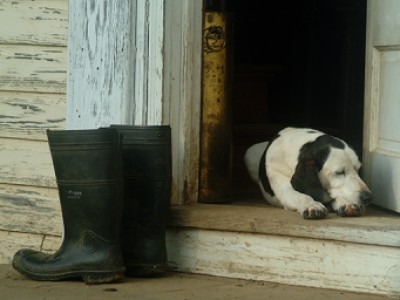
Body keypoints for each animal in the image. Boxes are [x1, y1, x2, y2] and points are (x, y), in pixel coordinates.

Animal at [244, 127, 372, 219]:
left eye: (358, 170)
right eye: (339, 172)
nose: (368, 197)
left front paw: (346, 202)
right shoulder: (286, 190)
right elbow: (302, 196)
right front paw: (311, 205)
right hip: (249, 153)